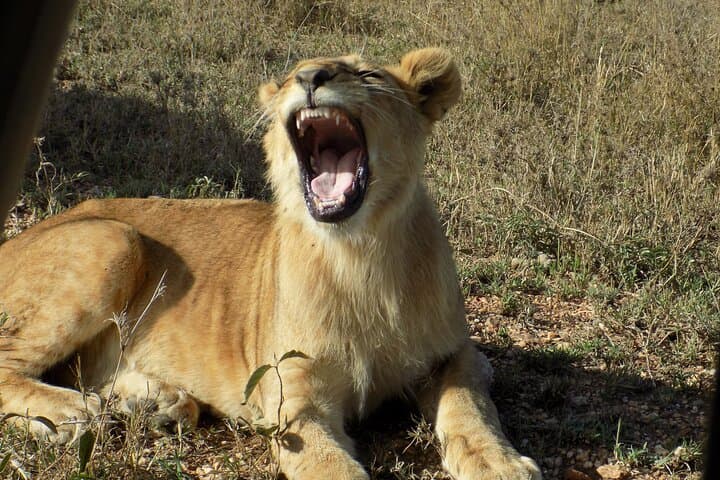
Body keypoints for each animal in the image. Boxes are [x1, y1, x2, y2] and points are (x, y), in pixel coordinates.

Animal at [0, 48, 541, 480]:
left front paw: (499, 464)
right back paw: (72, 413)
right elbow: (333, 468)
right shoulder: (292, 399)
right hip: (115, 239)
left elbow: (471, 408)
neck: (360, 256)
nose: (310, 77)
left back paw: (159, 403)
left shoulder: (456, 354)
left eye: (368, 74)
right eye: (286, 79)